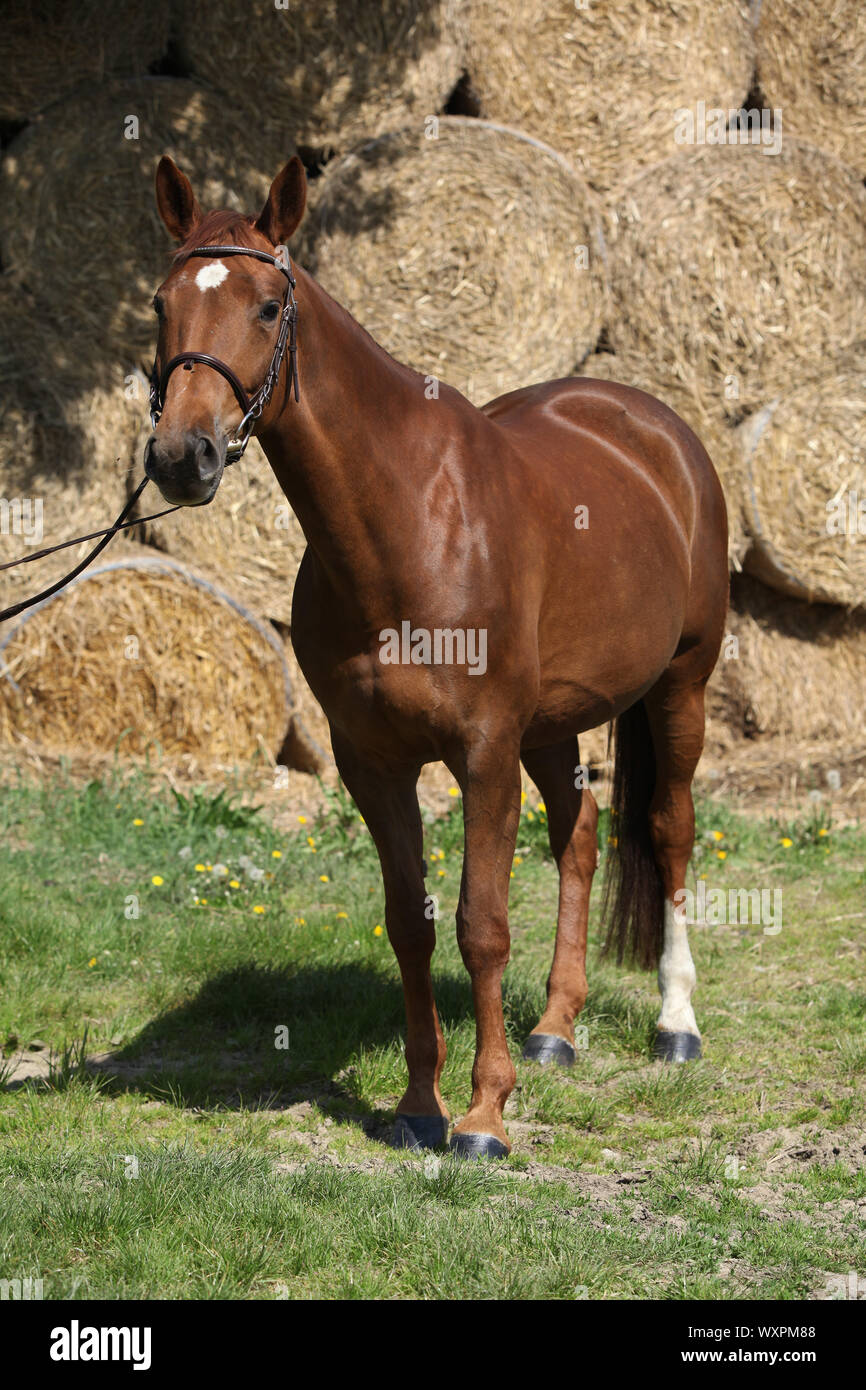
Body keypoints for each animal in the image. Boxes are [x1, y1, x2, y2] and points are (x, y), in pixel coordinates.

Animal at [146, 154, 729, 1160]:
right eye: (160, 304)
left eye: (268, 305)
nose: (185, 456)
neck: (409, 524)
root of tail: (654, 426)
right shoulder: (371, 762)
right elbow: (409, 925)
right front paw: (421, 1104)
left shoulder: (483, 752)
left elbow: (480, 925)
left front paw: (484, 1116)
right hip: (555, 722)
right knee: (579, 833)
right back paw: (554, 1030)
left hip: (680, 686)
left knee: (668, 829)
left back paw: (675, 1024)